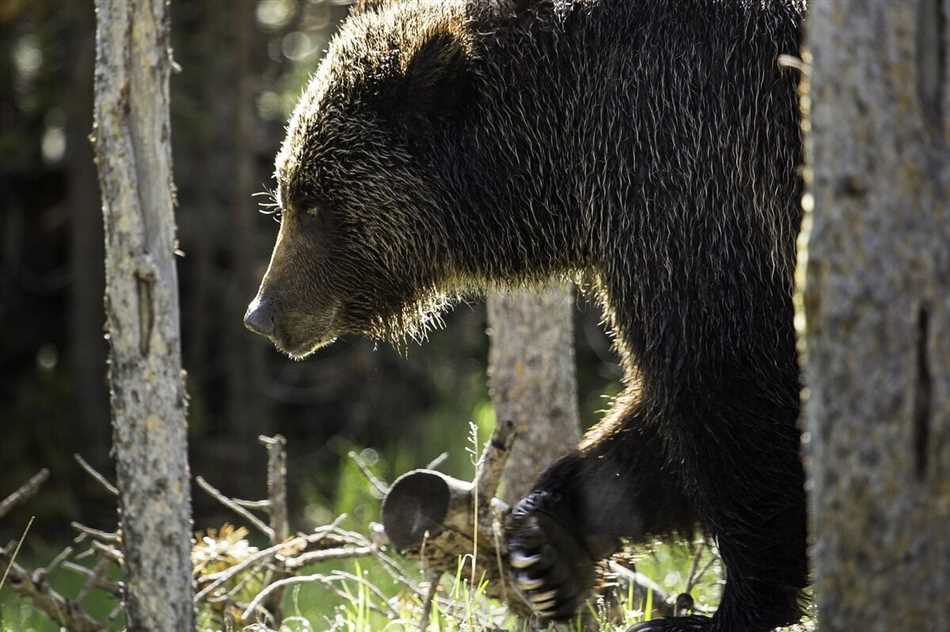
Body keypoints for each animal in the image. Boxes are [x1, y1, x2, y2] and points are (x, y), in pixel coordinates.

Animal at [245, 2, 812, 628]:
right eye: (287, 190)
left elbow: (728, 381)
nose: (262, 313)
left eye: (311, 201)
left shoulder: (693, 180)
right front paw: (548, 546)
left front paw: (732, 604)